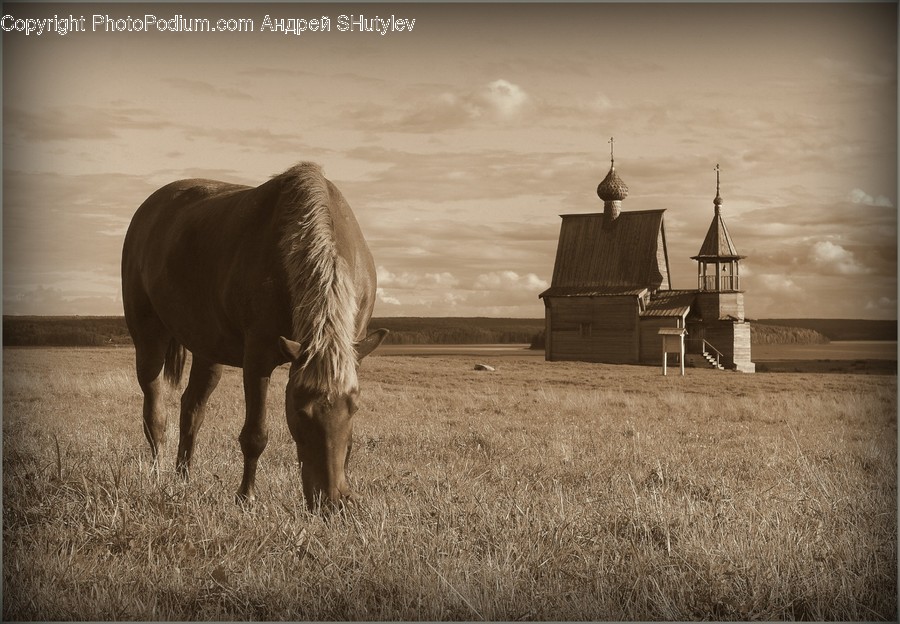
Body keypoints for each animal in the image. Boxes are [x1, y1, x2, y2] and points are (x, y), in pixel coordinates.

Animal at [121, 162, 387, 511]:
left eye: (353, 409)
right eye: (300, 412)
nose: (332, 501)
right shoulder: (258, 357)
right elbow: (255, 435)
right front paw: (245, 496)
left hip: (208, 350)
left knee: (191, 409)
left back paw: (183, 478)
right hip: (149, 338)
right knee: (155, 414)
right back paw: (157, 476)